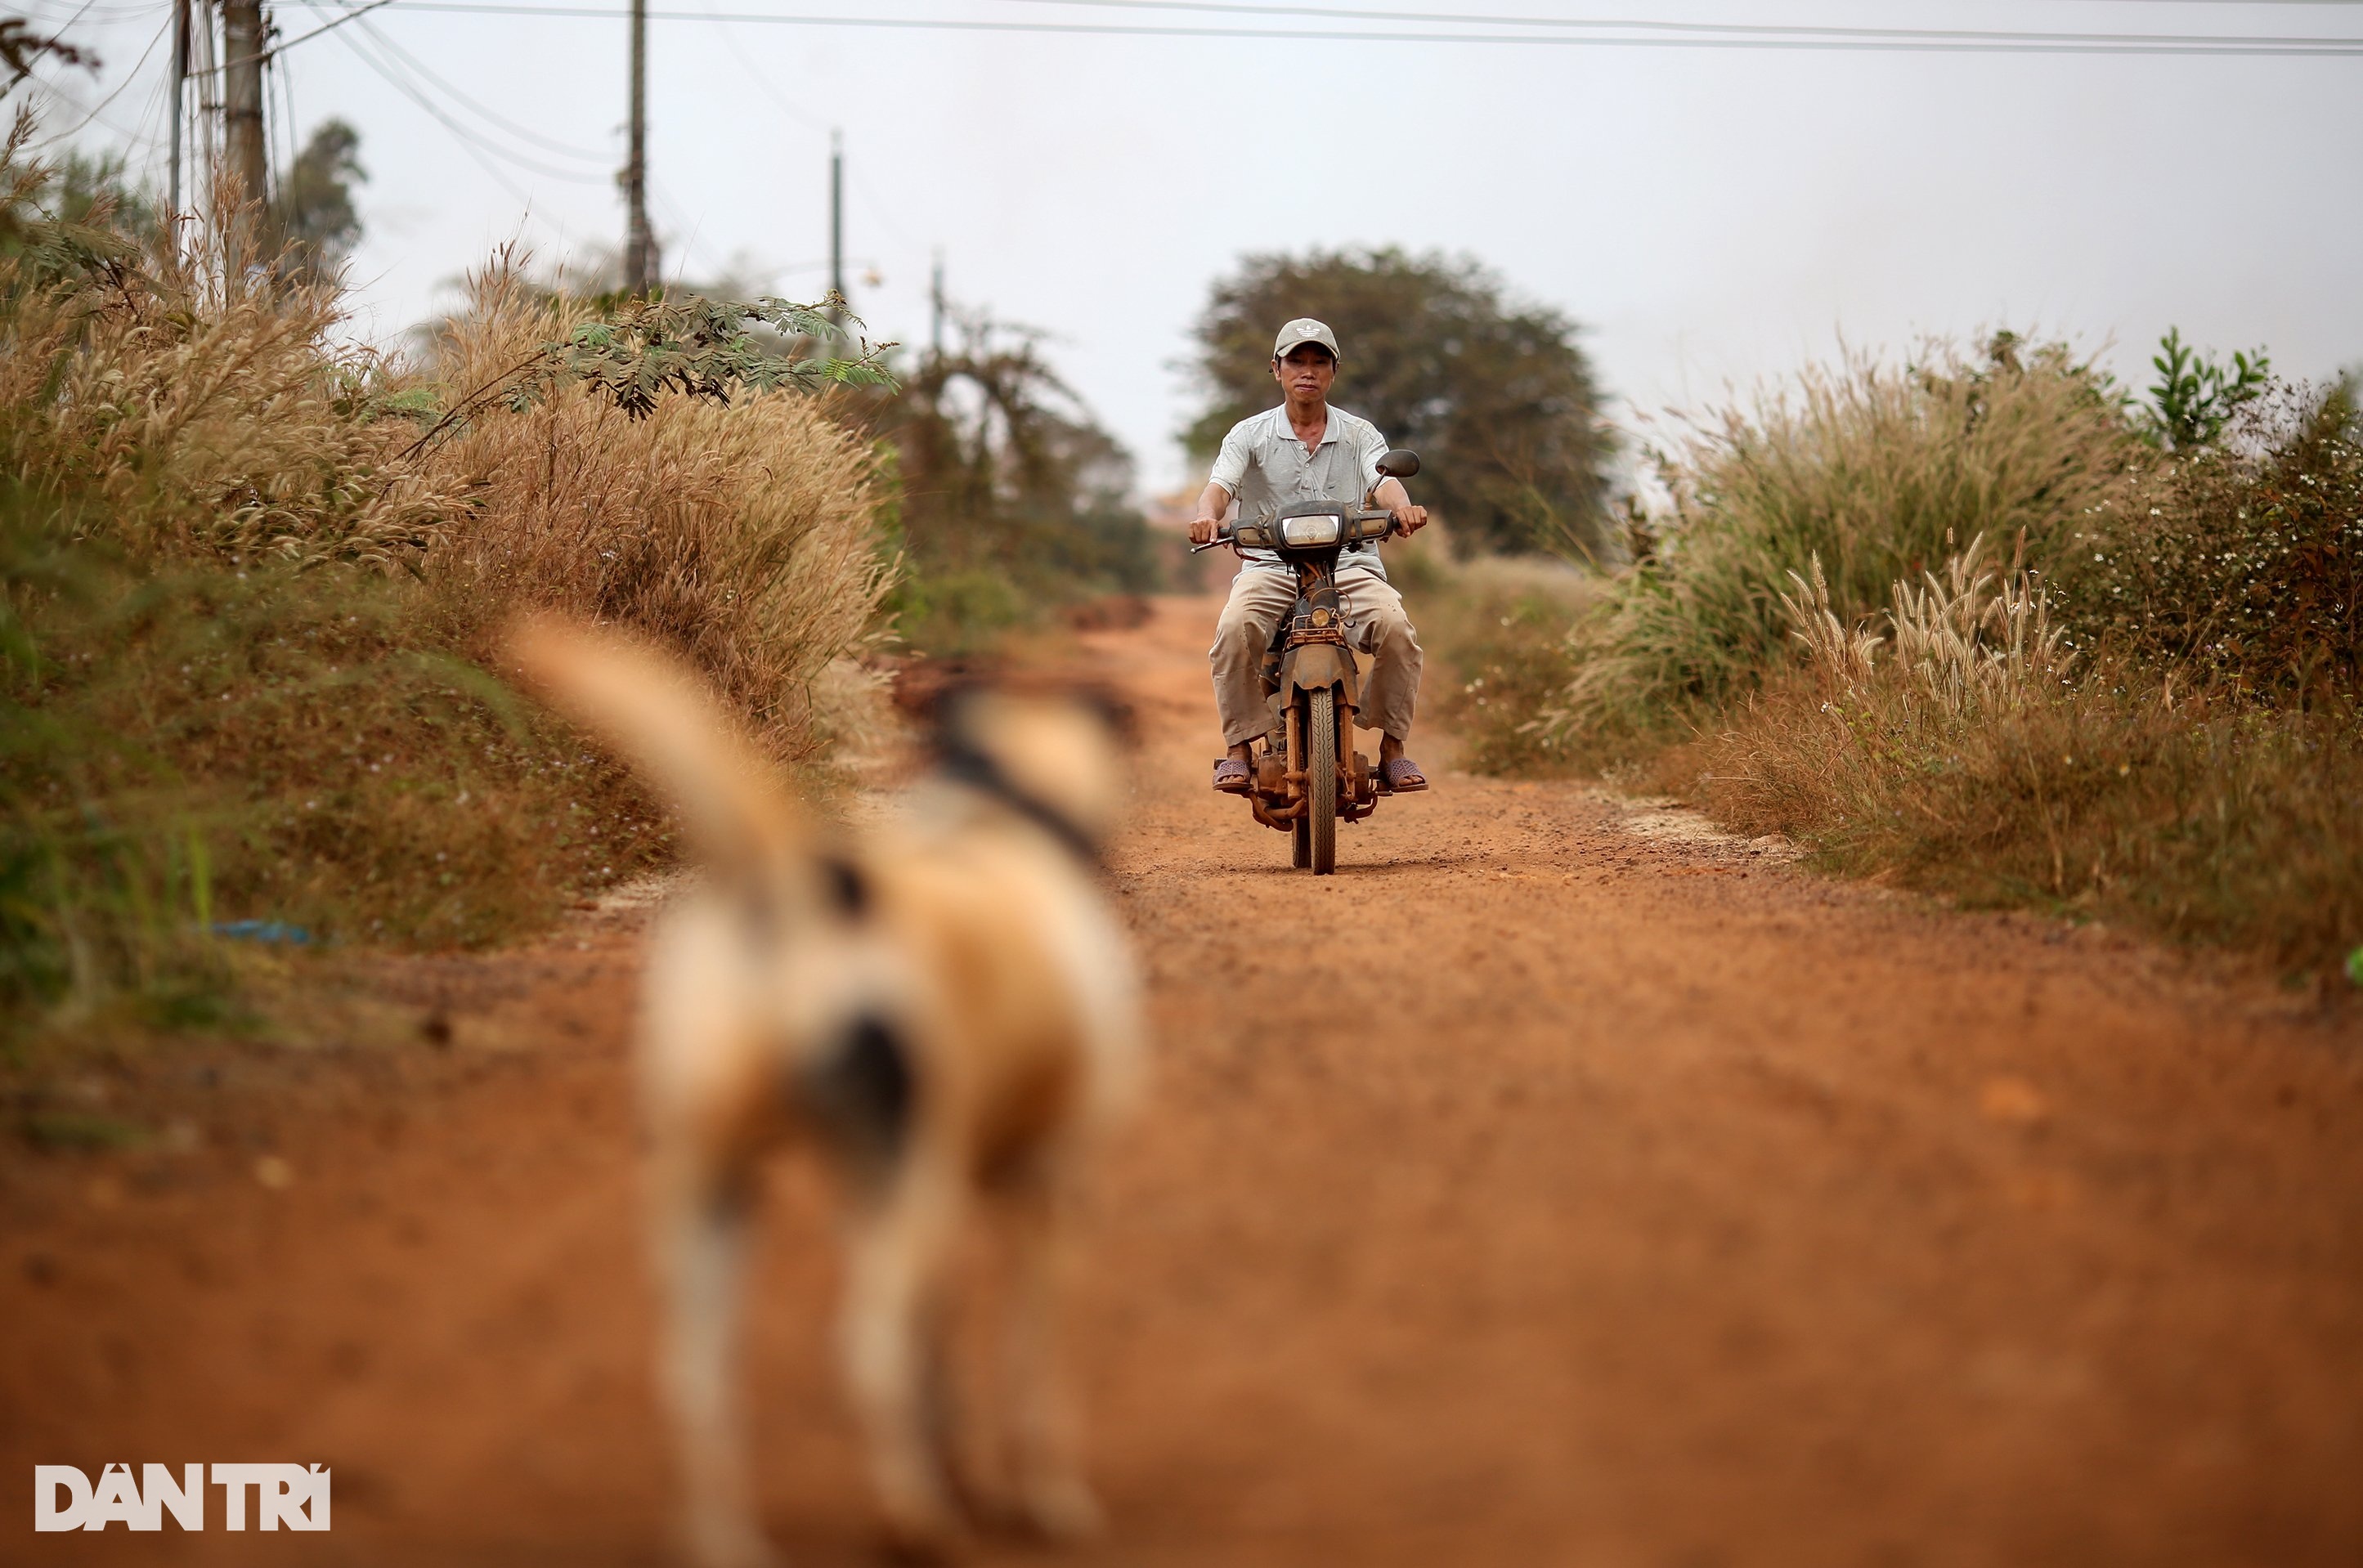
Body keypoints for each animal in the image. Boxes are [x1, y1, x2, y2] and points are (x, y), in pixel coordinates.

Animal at [508, 623, 1143, 1568]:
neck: (1002, 819)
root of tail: (796, 890)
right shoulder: (1041, 1185)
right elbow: (1029, 1367)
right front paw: (1042, 1499)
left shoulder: (875, 1189)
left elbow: (937, 1355)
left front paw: (962, 1467)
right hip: (909, 1201)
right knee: (863, 1350)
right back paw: (913, 1521)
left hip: (720, 1195)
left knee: (697, 1381)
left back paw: (732, 1542)